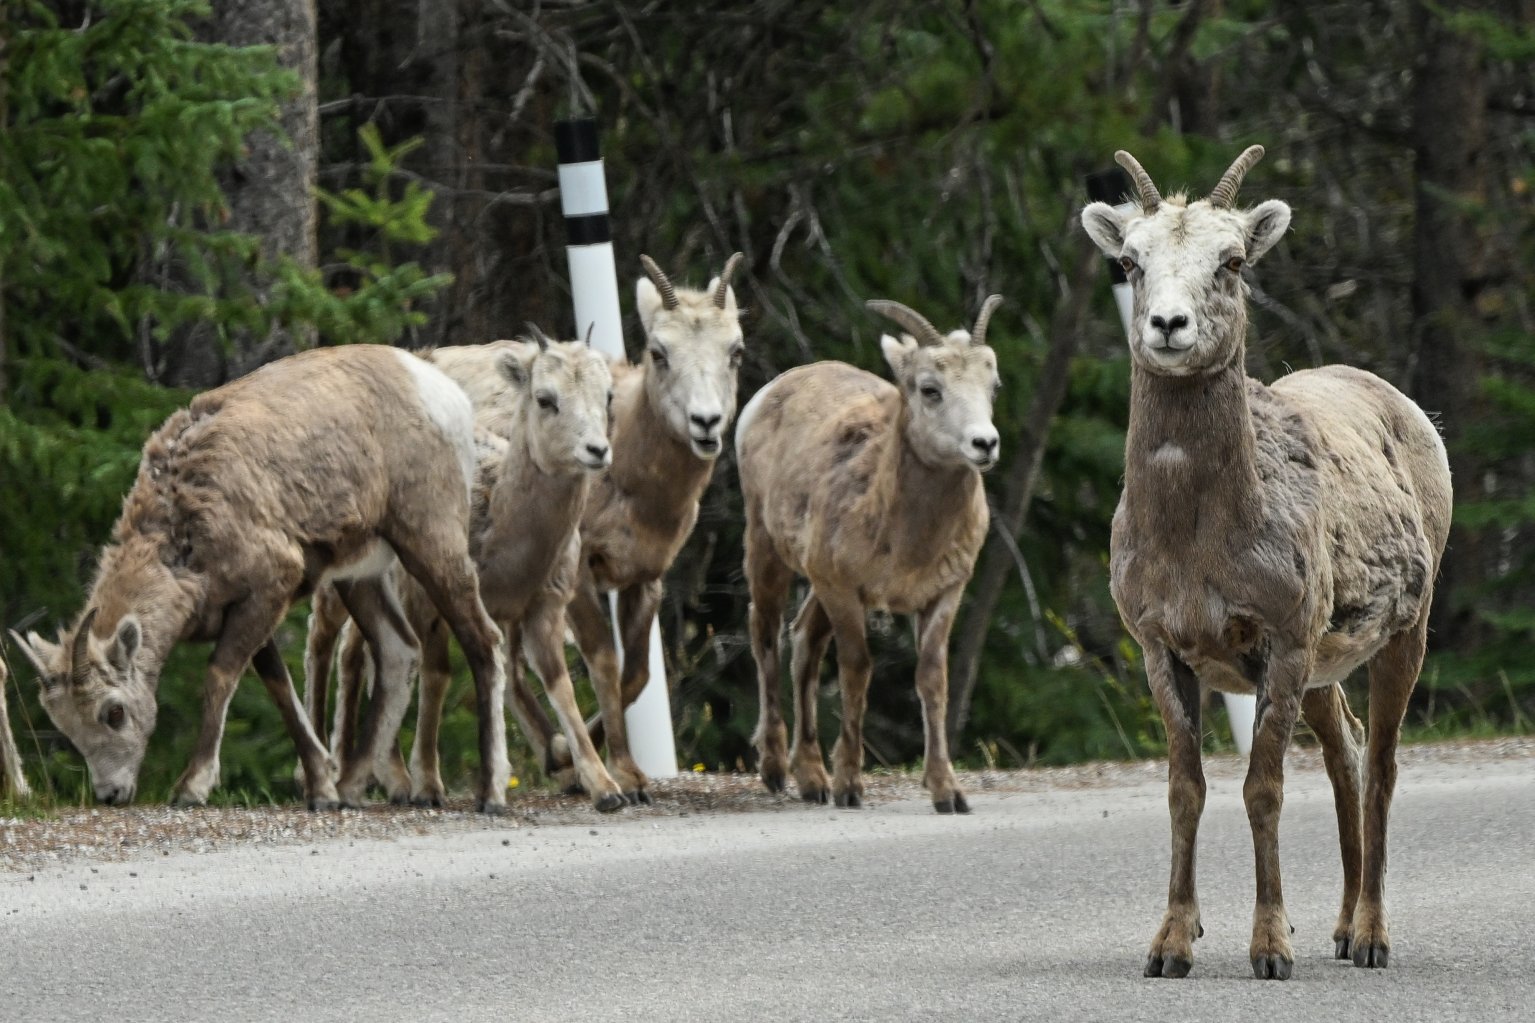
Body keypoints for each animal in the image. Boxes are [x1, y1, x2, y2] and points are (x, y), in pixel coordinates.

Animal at [8, 345, 512, 812]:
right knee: (397, 650)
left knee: (483, 640)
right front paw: (321, 791)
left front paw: (192, 787)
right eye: (65, 725)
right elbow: (280, 689)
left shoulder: (270, 587)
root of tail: (439, 389)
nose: (111, 794)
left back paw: (490, 794)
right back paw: (351, 789)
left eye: (113, 712)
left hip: (430, 541)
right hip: (361, 575)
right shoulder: (253, 608)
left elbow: (219, 677)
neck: (184, 537)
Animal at [307, 332, 626, 811]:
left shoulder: (543, 609)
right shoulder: (432, 603)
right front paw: (429, 786)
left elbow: (559, 686)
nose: (597, 451)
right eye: (545, 398)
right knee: (325, 647)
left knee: (363, 656)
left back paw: (382, 777)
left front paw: (605, 787)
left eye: (606, 395)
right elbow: (437, 677)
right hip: (338, 585)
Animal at [508, 253, 747, 804]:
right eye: (659, 352)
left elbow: (634, 676)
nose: (706, 422)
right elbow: (604, 664)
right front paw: (619, 776)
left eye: (736, 351)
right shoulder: (578, 575)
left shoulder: (645, 577)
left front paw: (608, 769)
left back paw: (558, 761)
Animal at [735, 296, 1003, 815]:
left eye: (993, 385)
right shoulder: (845, 590)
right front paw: (849, 786)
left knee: (803, 641)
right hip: (768, 548)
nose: (985, 444)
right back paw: (776, 770)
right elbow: (857, 671)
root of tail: (769, 393)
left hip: (816, 583)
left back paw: (812, 779)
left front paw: (947, 792)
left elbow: (932, 679)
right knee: (765, 634)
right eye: (930, 389)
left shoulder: (944, 593)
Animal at [1079, 145, 1452, 980]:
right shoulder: (1163, 647)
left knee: (1381, 767)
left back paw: (1371, 937)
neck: (1196, 544)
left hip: (1402, 633)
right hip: (1325, 664)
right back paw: (1340, 929)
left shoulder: (1280, 641)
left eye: (1232, 260)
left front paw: (1271, 948)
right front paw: (1170, 946)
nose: (1168, 325)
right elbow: (1185, 790)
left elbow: (1262, 789)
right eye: (1129, 260)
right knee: (1346, 751)